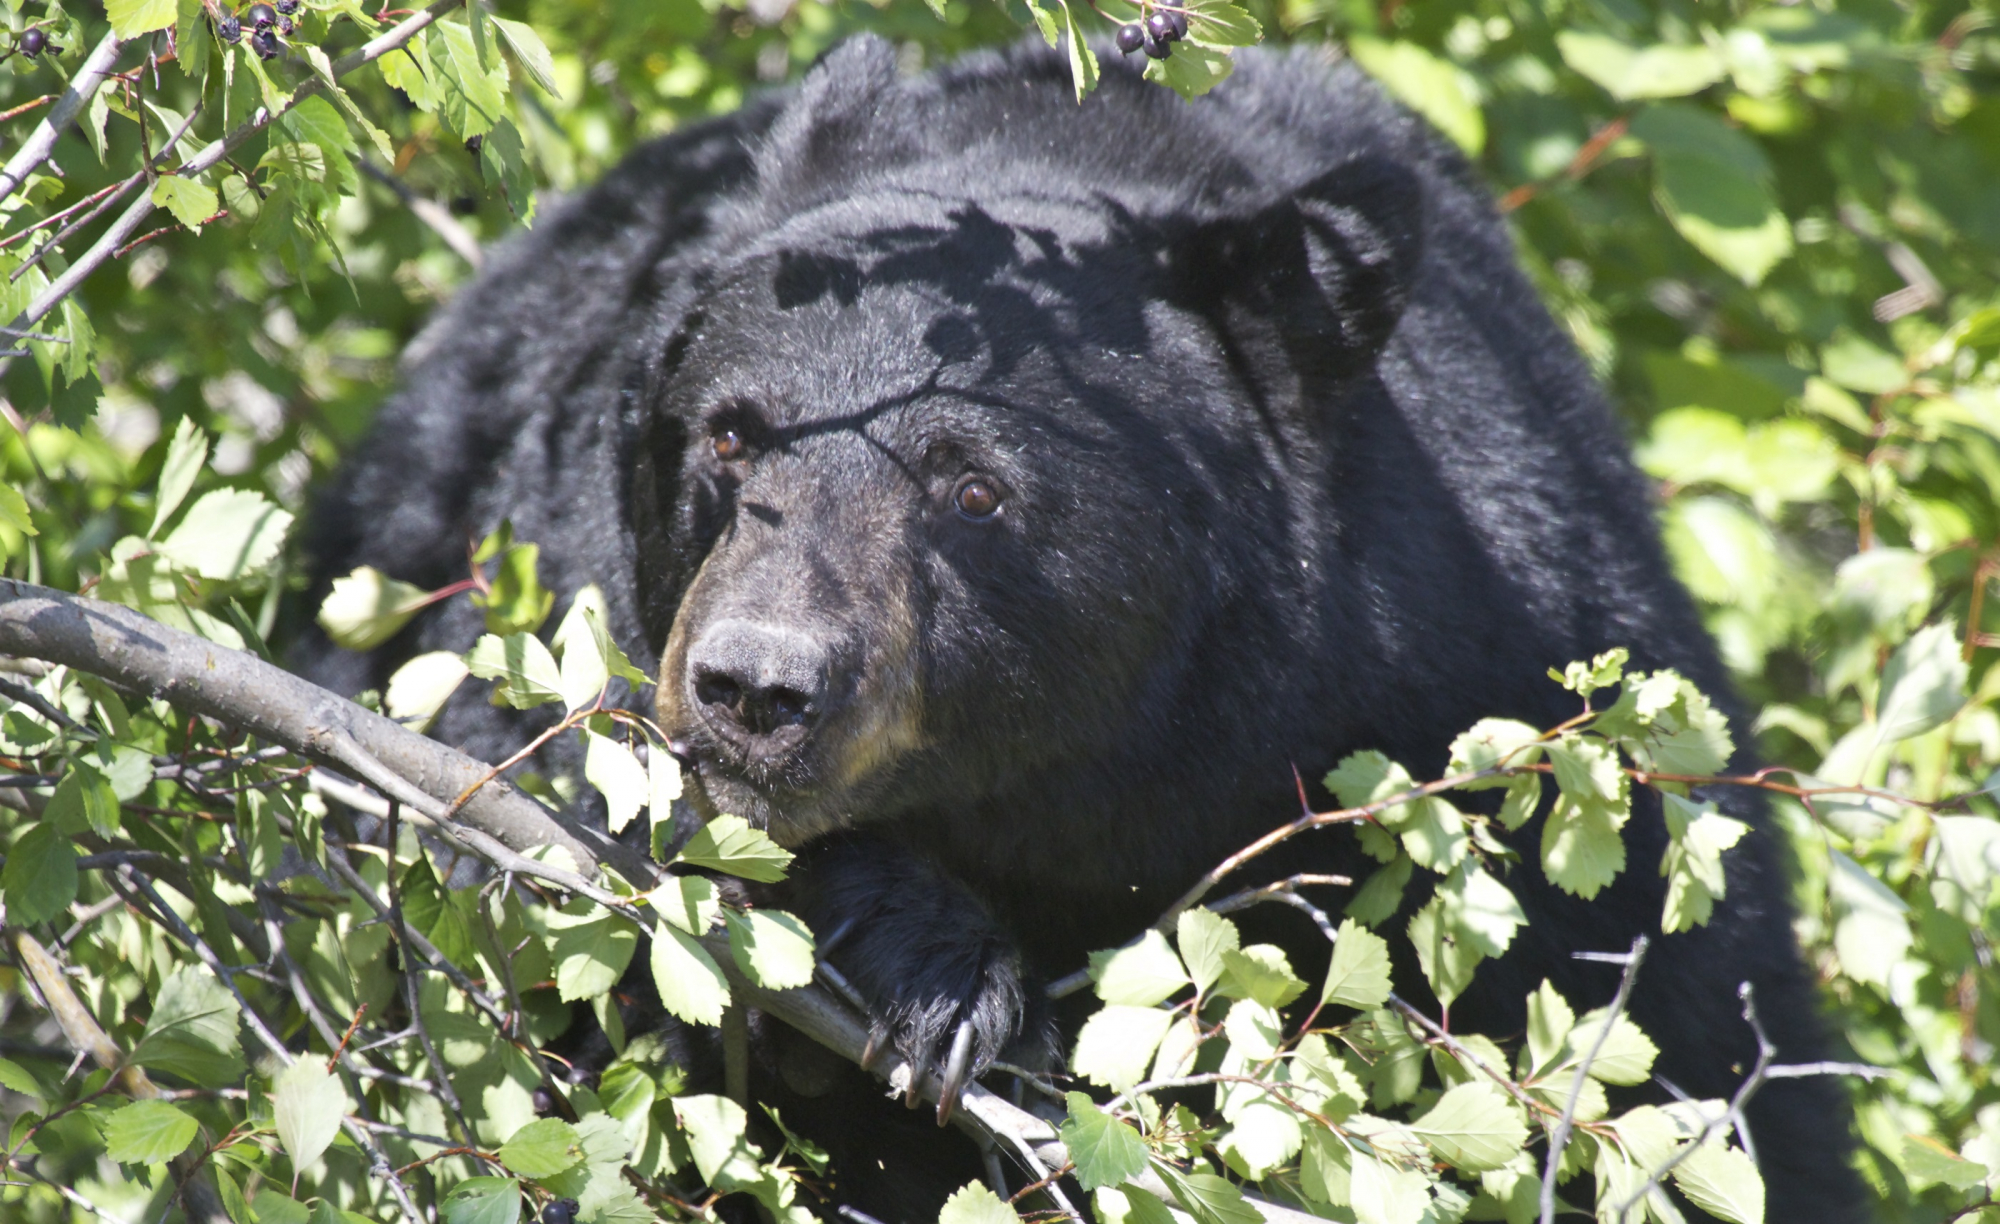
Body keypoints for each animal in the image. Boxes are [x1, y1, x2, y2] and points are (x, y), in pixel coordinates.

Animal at [296, 35, 1856, 1224]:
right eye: (730, 436)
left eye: (973, 485)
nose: (756, 687)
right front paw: (925, 958)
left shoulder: (1496, 709)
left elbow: (1685, 1069)